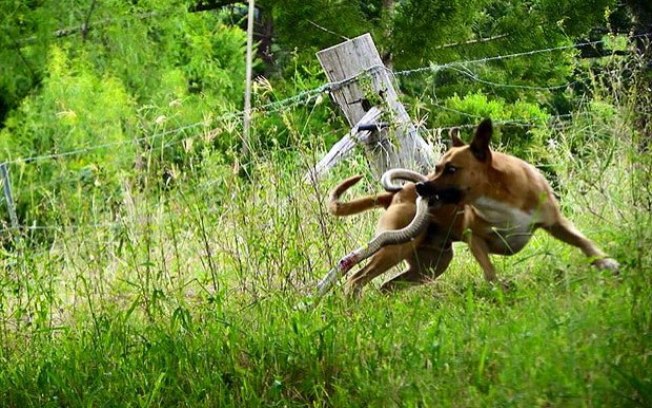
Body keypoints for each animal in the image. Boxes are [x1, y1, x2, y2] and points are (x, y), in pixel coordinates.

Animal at [328, 118, 620, 294]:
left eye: (451, 169)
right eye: (436, 167)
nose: (421, 187)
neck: (497, 194)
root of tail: (394, 196)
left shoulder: (555, 222)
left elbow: (582, 241)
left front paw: (605, 262)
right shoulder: (475, 238)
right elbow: (489, 271)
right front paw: (500, 289)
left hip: (431, 265)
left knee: (386, 286)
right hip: (394, 247)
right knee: (356, 279)